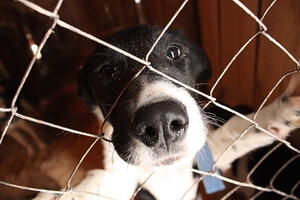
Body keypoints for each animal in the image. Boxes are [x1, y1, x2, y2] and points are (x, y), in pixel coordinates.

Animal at [32, 25, 296, 200]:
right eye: (107, 70)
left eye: (173, 52)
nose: (160, 121)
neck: (164, 172)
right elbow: (102, 183)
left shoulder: (197, 159)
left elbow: (234, 133)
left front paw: (280, 113)